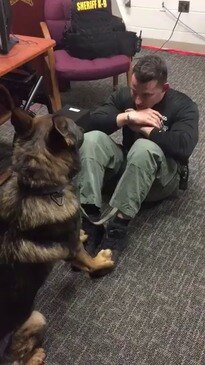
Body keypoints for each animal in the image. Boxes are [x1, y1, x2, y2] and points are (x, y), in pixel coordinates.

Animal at [0, 86, 113, 364]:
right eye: (76, 128)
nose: (83, 122)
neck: (37, 189)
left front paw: (84, 234)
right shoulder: (72, 250)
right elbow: (87, 260)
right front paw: (101, 261)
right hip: (37, 317)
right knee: (16, 360)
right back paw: (37, 355)